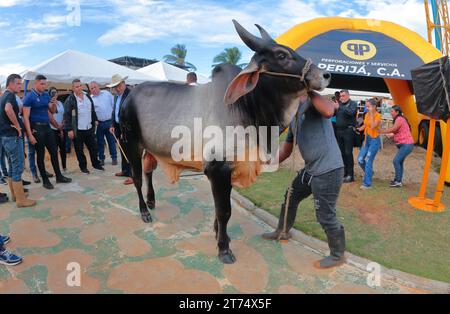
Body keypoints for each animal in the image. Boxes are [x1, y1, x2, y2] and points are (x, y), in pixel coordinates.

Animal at [118, 20, 330, 264]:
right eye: (281, 55)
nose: (326, 75)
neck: (247, 107)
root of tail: (129, 95)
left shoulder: (230, 169)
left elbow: (222, 209)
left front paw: (219, 234)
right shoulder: (217, 169)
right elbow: (224, 211)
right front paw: (224, 248)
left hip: (150, 147)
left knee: (148, 170)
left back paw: (152, 201)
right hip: (130, 143)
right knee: (136, 178)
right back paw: (144, 211)